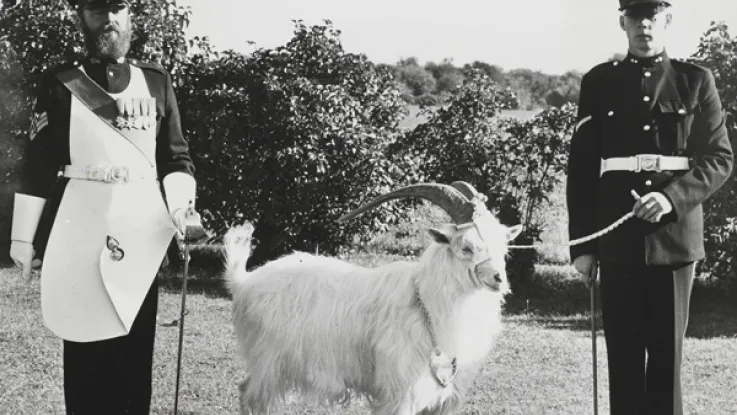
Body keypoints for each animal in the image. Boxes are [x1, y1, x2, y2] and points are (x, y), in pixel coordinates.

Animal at [221, 182, 520, 415]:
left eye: (503, 245)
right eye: (466, 247)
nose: (499, 279)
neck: (425, 302)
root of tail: (244, 281)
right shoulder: (400, 392)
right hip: (267, 361)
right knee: (250, 396)